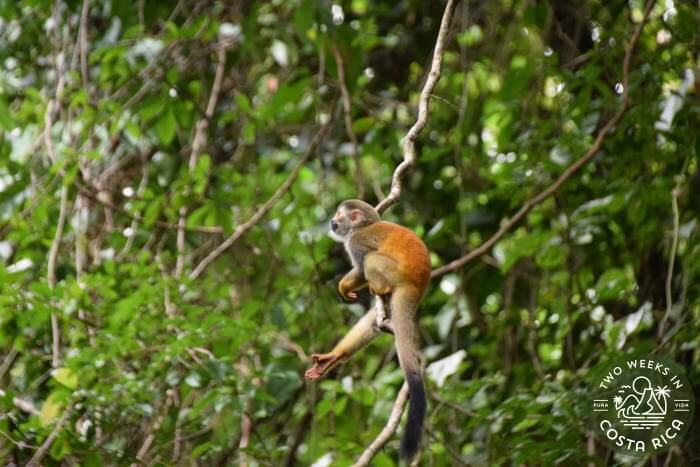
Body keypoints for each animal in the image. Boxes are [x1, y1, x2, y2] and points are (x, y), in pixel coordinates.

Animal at [305, 199, 431, 461]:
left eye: (339, 214)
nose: (332, 220)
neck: (362, 226)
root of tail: (418, 284)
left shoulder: (355, 240)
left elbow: (362, 268)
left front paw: (344, 284)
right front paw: (332, 358)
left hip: (395, 273)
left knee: (372, 260)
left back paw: (379, 286)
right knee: (376, 322)